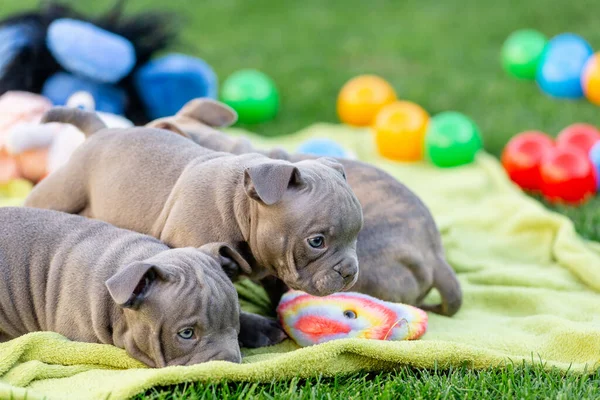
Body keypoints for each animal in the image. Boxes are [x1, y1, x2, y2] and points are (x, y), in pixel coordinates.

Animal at [25, 107, 364, 346]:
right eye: (316, 241)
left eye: (357, 235)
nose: (349, 272)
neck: (238, 205)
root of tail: (101, 131)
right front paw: (258, 330)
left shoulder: (272, 266)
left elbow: (276, 290)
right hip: (62, 190)